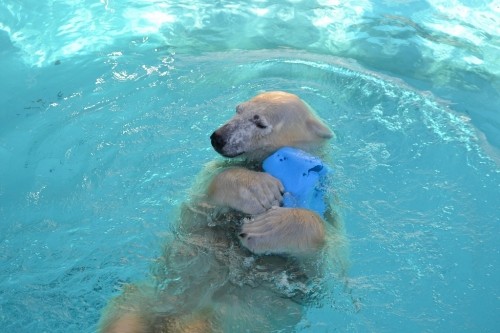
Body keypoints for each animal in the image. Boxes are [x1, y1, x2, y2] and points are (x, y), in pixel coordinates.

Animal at [97, 91, 348, 332]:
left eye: (260, 122)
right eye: (238, 109)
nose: (218, 137)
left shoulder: (328, 210)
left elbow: (321, 266)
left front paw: (264, 228)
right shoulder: (206, 187)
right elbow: (197, 206)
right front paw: (259, 189)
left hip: (232, 319)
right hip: (151, 297)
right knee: (126, 312)